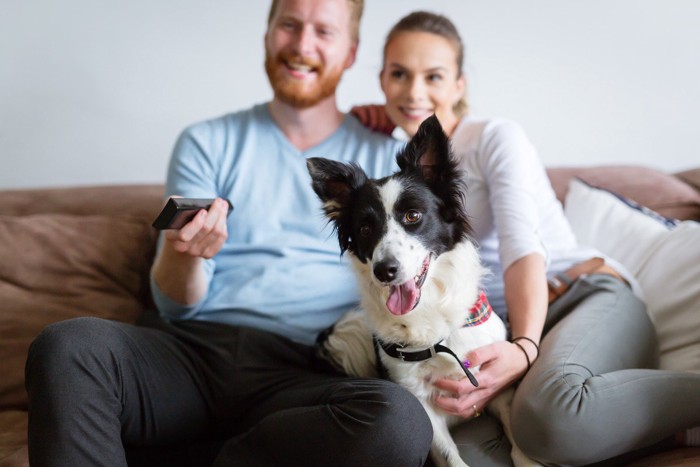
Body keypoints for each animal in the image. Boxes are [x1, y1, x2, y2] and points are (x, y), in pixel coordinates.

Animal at [306, 115, 532, 466]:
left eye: (413, 215)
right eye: (365, 229)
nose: (384, 271)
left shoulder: (496, 386)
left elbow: (518, 437)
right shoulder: (420, 402)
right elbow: (452, 457)